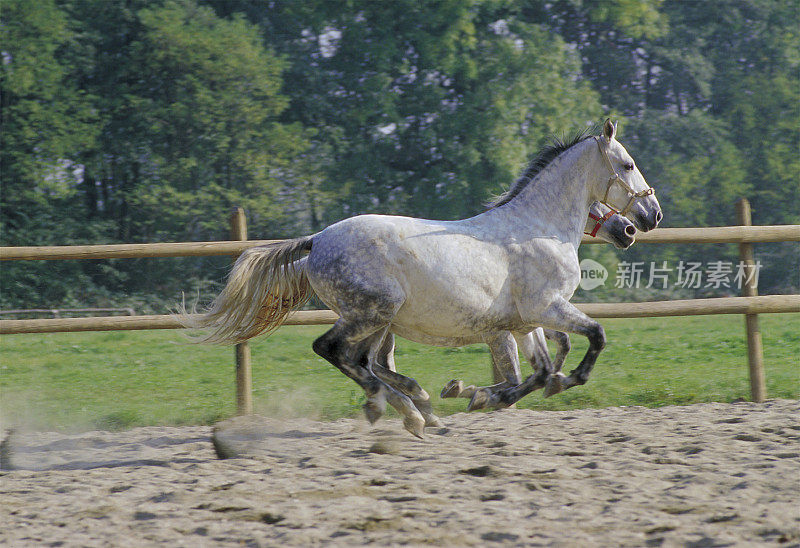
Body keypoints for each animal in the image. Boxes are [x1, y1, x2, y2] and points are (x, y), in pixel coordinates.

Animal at [183, 121, 664, 436]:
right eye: (627, 164)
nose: (646, 219)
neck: (539, 227)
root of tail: (317, 240)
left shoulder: (525, 322)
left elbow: (541, 370)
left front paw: (479, 395)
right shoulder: (546, 308)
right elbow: (594, 336)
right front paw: (487, 394)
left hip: (377, 321)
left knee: (365, 362)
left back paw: (410, 408)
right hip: (372, 312)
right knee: (335, 352)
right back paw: (406, 411)